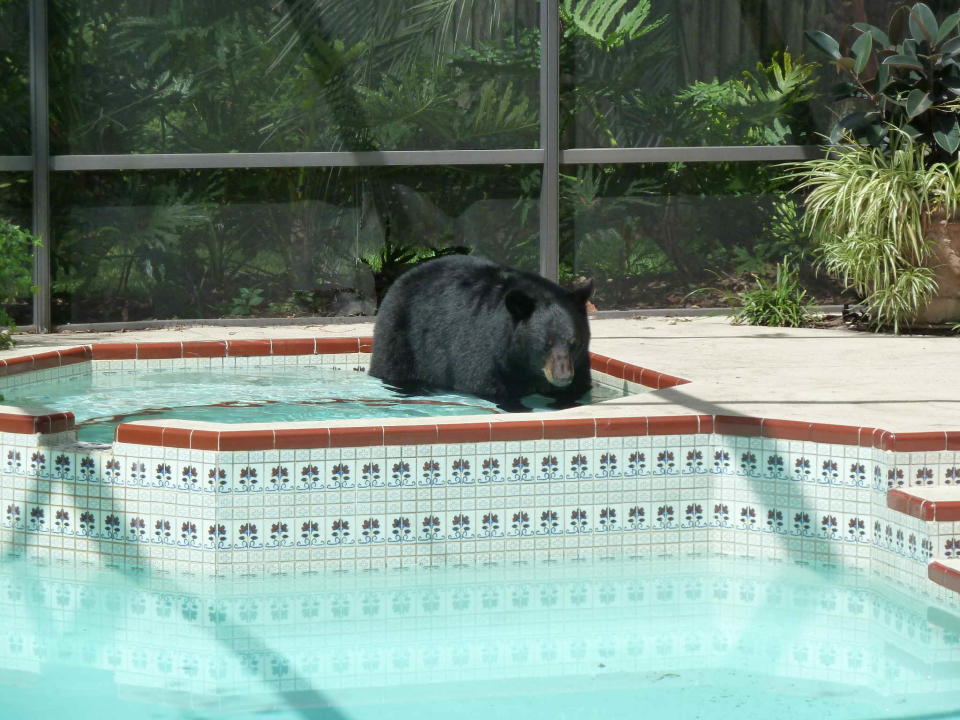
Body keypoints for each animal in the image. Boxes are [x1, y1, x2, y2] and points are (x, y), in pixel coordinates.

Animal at [370, 256, 588, 404]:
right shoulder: (484, 351)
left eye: (574, 343)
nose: (562, 377)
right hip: (400, 335)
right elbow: (486, 386)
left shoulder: (578, 364)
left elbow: (578, 388)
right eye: (545, 345)